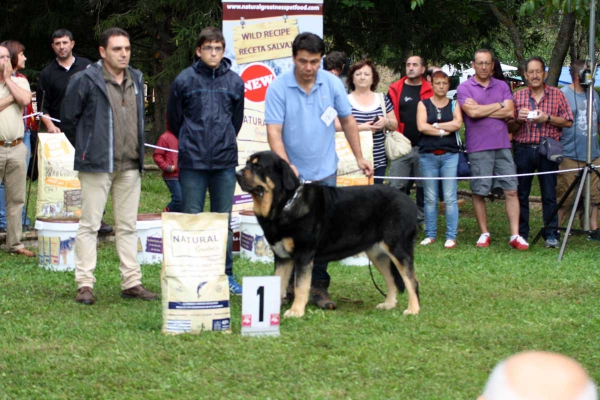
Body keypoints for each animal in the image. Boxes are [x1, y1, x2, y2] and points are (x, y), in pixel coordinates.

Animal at [233, 151, 418, 318]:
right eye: (247, 163)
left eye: (257, 166)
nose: (237, 173)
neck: (283, 204)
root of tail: (409, 201)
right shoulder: (282, 257)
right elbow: (278, 283)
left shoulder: (303, 255)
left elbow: (300, 286)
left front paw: (295, 311)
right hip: (377, 254)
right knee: (392, 280)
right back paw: (389, 304)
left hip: (397, 248)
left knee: (411, 280)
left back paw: (413, 309)